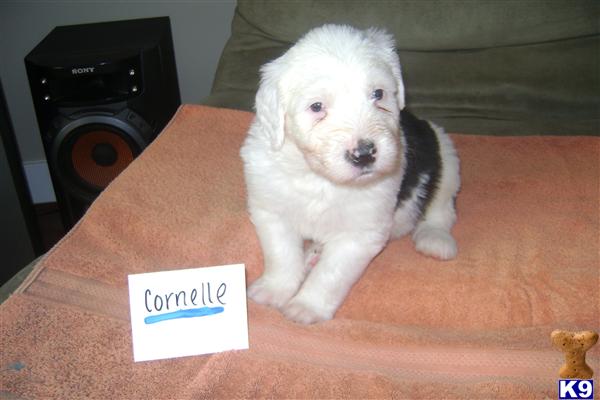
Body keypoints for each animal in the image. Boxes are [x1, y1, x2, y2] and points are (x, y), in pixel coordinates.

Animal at [239, 24, 460, 324]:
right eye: (317, 107)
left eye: (378, 94)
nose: (364, 154)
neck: (320, 179)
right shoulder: (271, 209)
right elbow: (281, 254)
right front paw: (274, 290)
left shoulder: (360, 233)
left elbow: (331, 274)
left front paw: (307, 306)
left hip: (445, 154)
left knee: (441, 207)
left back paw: (434, 238)